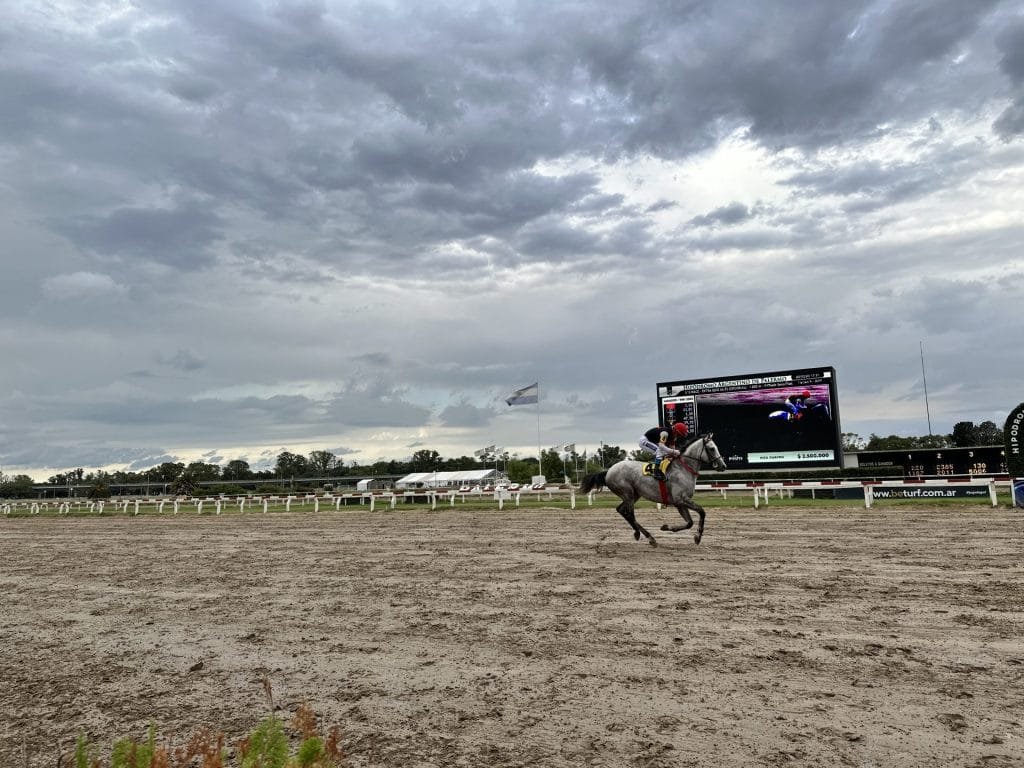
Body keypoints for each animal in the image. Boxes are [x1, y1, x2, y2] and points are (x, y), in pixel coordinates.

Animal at [585, 434, 729, 548]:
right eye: (712, 448)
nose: (723, 466)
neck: (683, 469)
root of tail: (608, 471)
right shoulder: (680, 499)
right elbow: (702, 512)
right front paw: (698, 536)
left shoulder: (679, 503)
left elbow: (689, 523)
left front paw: (666, 527)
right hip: (628, 493)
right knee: (630, 514)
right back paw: (644, 535)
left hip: (634, 495)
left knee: (621, 510)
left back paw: (647, 536)